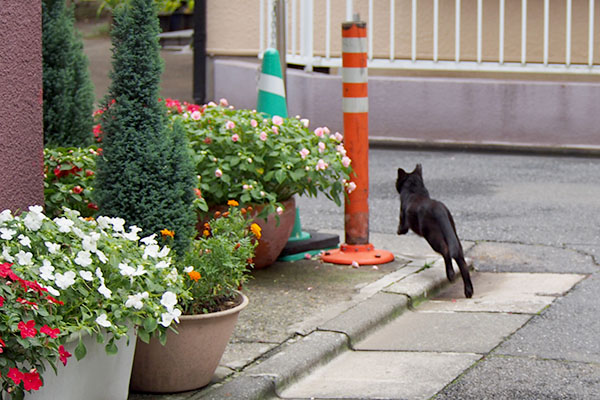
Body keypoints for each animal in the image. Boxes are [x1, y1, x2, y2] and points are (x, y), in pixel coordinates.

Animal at [396, 164, 476, 298]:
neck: (415, 191)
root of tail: (440, 210)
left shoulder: (402, 217)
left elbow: (401, 227)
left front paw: (397, 231)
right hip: (454, 236)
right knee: (461, 261)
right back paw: (468, 290)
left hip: (433, 237)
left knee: (446, 251)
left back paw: (451, 275)